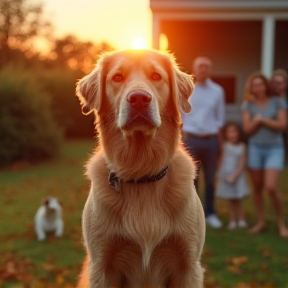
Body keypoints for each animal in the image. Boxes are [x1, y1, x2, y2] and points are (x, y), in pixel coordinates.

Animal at [75, 48, 206, 286]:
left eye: (156, 76)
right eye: (117, 77)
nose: (139, 99)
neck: (141, 172)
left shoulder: (188, 265)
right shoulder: (102, 266)